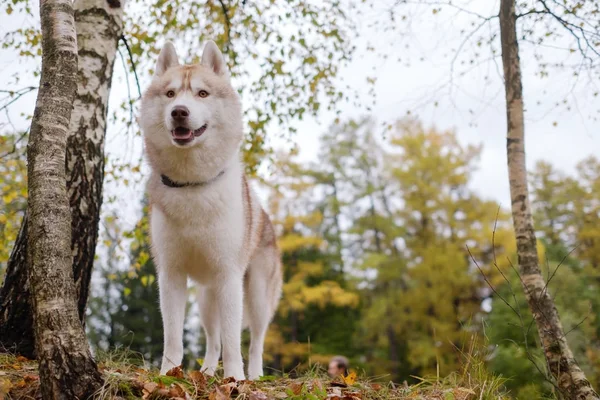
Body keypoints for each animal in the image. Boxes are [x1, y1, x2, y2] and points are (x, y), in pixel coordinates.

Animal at [139, 40, 282, 382]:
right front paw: (168, 374)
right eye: (170, 94)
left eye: (202, 93)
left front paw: (236, 380)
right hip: (206, 298)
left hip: (256, 296)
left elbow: (233, 342)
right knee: (212, 340)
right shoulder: (171, 275)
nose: (179, 112)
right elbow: (173, 336)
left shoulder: (229, 276)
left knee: (256, 341)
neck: (192, 184)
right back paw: (205, 371)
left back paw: (255, 375)